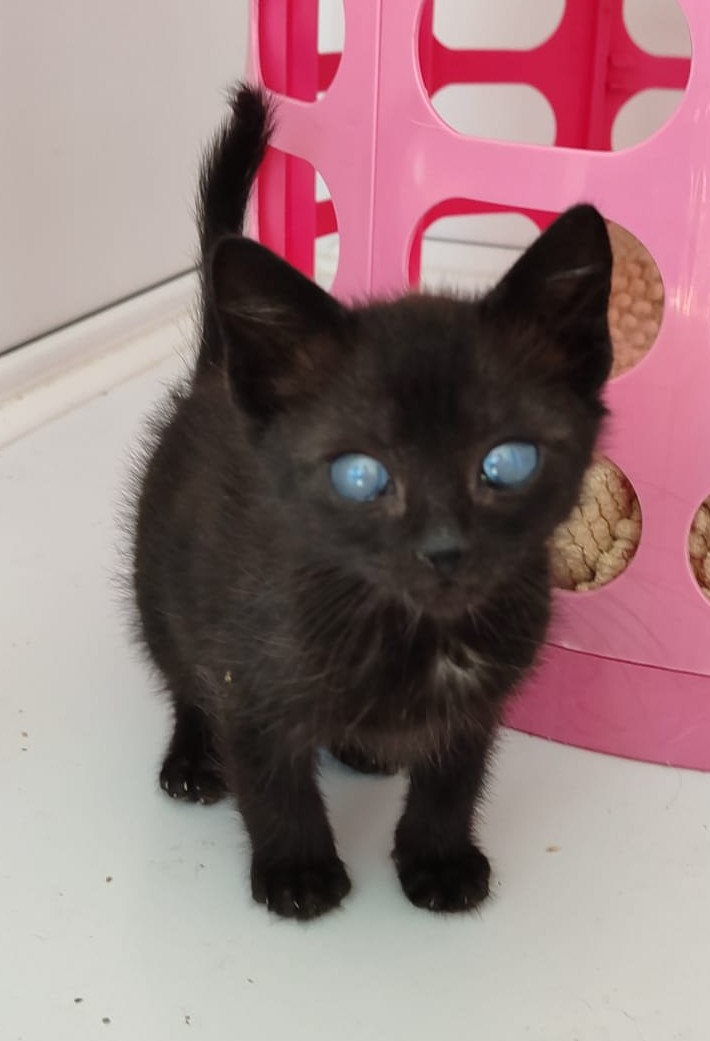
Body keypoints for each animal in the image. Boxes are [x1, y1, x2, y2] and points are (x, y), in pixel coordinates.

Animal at [130, 84, 613, 920]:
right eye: (362, 476)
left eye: (507, 462)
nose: (445, 548)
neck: (415, 631)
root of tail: (218, 371)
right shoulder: (249, 679)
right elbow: (273, 781)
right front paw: (298, 870)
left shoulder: (478, 698)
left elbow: (453, 779)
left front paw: (437, 858)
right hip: (162, 587)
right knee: (183, 673)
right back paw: (192, 756)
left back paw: (363, 747)